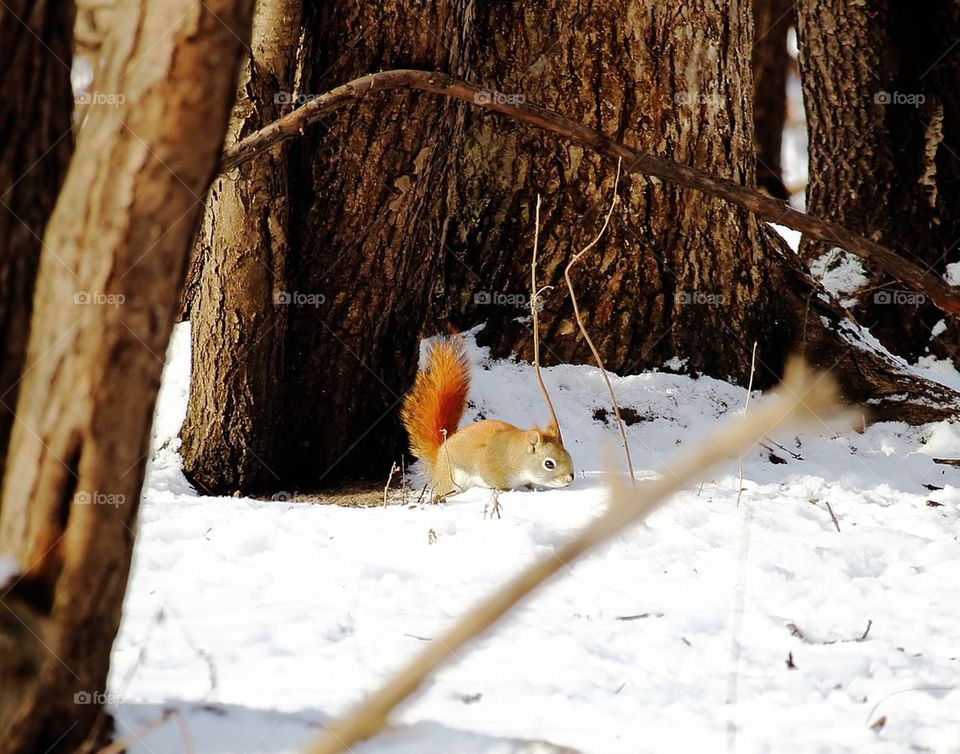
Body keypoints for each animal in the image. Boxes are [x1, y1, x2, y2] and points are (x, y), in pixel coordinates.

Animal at [400, 336, 575, 498]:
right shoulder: (492, 467)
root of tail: (439, 455)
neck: (515, 455)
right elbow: (495, 481)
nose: (570, 478)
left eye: (568, 453)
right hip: (451, 480)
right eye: (549, 464)